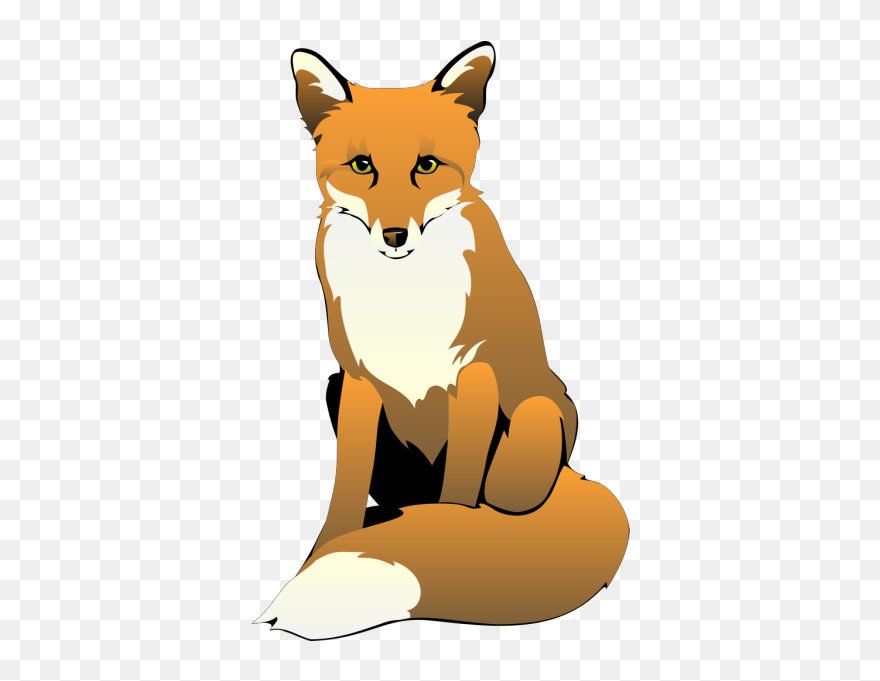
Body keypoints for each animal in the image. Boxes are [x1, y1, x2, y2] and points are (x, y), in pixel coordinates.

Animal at [255, 42, 630, 640]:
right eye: (362, 166)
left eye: (426, 166)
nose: (394, 235)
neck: (405, 301)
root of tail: (576, 476)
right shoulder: (356, 380)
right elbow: (343, 497)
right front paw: (320, 554)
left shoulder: (473, 378)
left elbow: (457, 501)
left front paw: (451, 543)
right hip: (335, 390)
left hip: (535, 426)